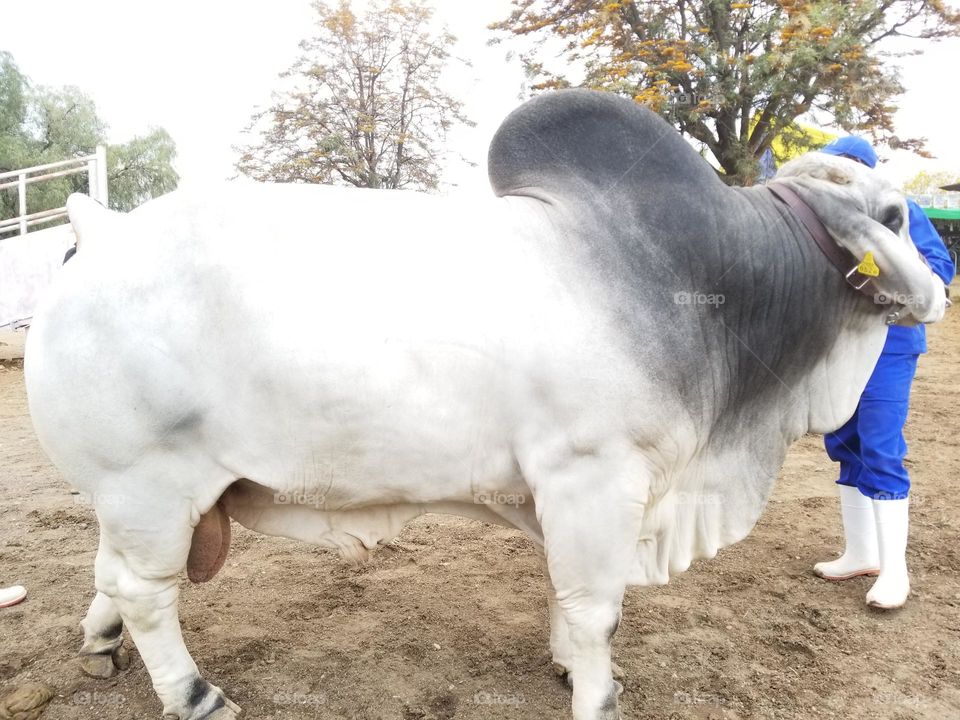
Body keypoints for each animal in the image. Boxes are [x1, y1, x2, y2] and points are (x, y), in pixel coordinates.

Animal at [25, 89, 947, 720]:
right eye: (895, 214)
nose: (940, 289)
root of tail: (99, 230)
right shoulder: (594, 477)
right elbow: (597, 610)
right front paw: (598, 696)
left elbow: (571, 604)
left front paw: (569, 667)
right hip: (148, 482)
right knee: (146, 591)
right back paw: (194, 694)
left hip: (134, 496)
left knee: (111, 576)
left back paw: (101, 644)